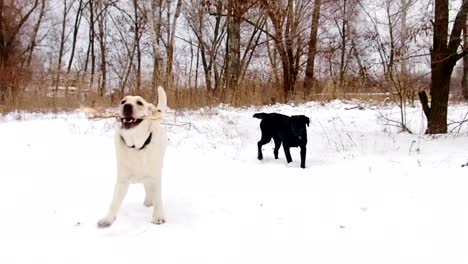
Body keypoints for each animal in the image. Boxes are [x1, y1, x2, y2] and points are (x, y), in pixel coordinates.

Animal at [97, 85, 168, 228]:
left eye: (140, 103)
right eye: (123, 101)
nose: (127, 106)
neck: (136, 146)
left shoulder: (155, 176)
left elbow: (158, 197)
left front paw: (158, 216)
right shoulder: (122, 179)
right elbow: (114, 201)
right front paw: (107, 219)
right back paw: (148, 201)